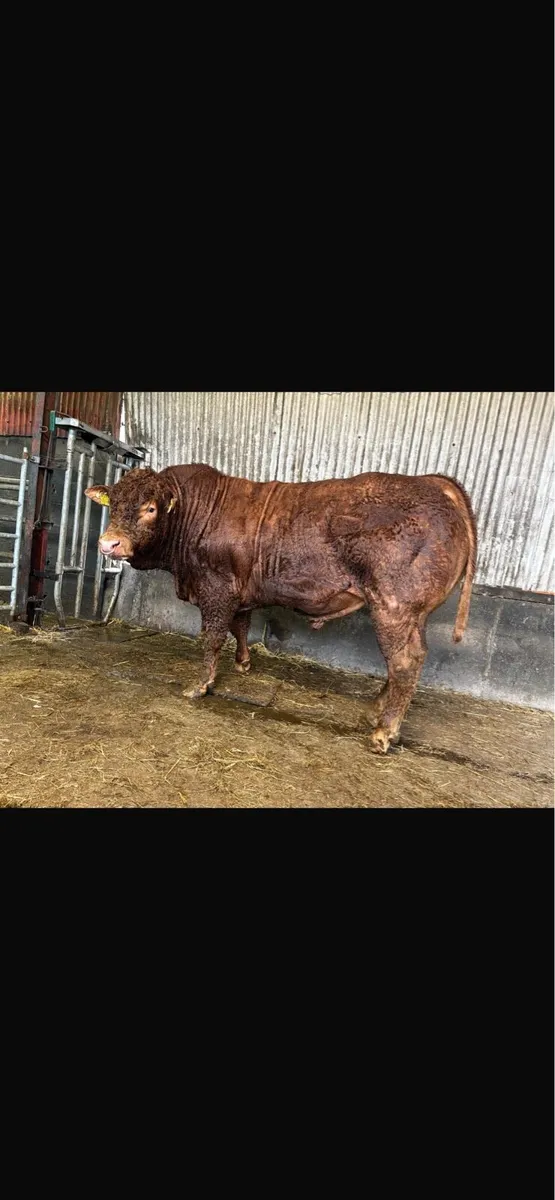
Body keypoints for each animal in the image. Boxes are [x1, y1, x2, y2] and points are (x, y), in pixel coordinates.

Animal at [86, 464, 477, 754]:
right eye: (112, 504)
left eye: (150, 508)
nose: (108, 544)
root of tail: (434, 483)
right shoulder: (239, 591)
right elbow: (240, 626)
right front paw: (243, 664)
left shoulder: (216, 590)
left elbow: (212, 638)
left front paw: (200, 685)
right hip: (414, 615)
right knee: (409, 660)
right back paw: (375, 712)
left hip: (395, 607)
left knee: (404, 662)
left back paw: (384, 732)